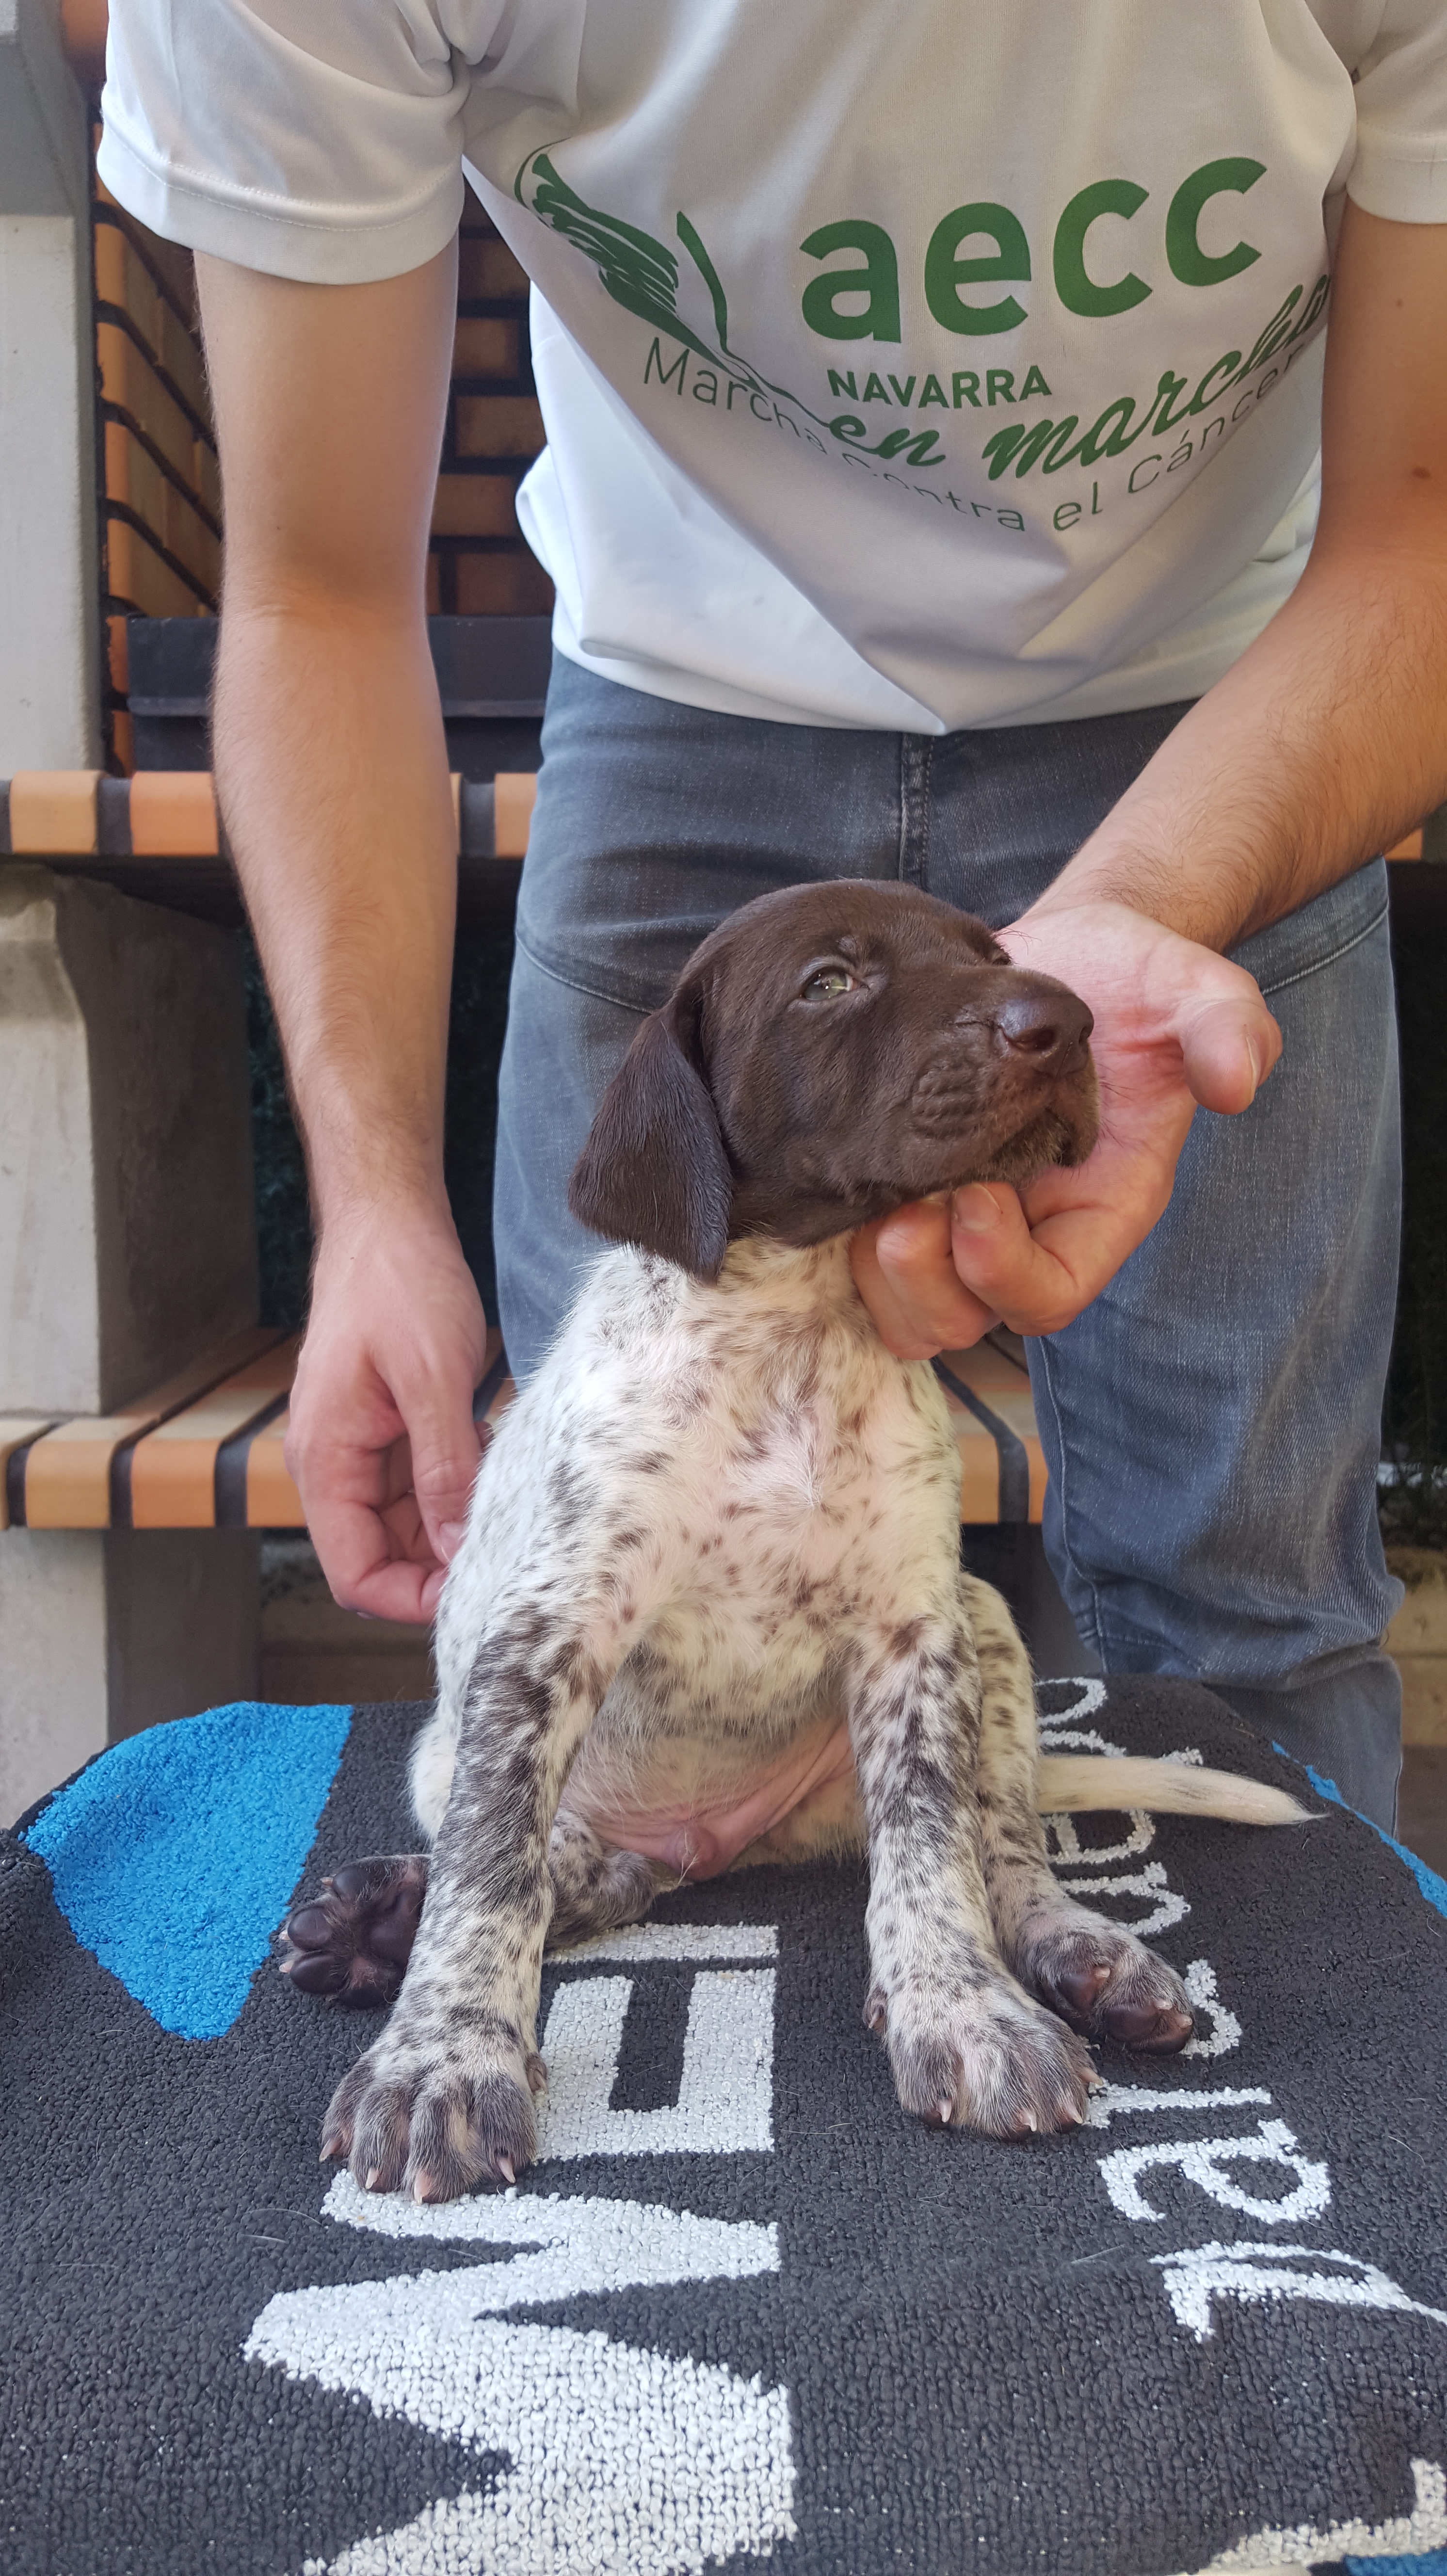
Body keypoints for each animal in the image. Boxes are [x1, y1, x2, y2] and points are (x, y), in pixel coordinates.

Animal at [281, 879, 1302, 2203]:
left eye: (992, 955)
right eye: (829, 983)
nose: (1063, 1021)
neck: (799, 1329)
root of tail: (730, 1841)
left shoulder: (915, 1637)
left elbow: (929, 1849)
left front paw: (964, 2011)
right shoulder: (542, 1639)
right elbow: (491, 1870)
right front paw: (443, 2057)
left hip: (986, 1629)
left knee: (1006, 1843)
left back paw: (1085, 1953)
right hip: (445, 1751)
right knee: (588, 1866)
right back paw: (384, 1920)